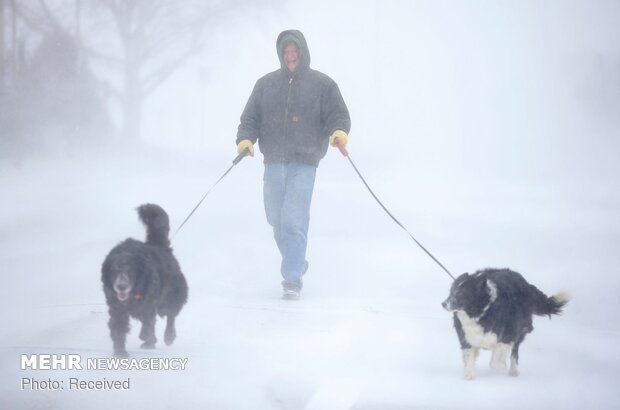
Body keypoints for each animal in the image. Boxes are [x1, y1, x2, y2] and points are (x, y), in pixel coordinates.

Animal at [101, 203, 188, 358]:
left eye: (130, 271)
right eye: (114, 271)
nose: (121, 286)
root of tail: (160, 246)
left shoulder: (150, 301)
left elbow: (149, 321)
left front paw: (144, 335)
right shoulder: (116, 306)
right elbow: (118, 328)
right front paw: (120, 351)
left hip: (172, 294)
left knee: (170, 314)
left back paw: (168, 336)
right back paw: (150, 342)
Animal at [440, 268, 572, 380]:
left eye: (460, 294)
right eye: (451, 292)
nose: (443, 304)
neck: (482, 311)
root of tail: (526, 283)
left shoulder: (510, 331)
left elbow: (498, 354)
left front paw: (500, 364)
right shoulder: (466, 335)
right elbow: (469, 354)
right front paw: (469, 374)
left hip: (521, 328)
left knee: (514, 351)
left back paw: (513, 371)